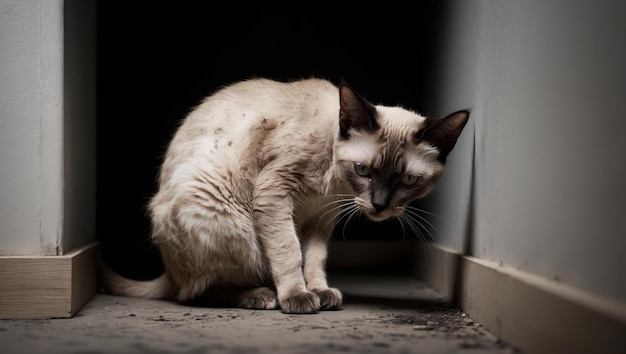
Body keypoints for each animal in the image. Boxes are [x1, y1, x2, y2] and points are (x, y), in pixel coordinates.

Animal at [98, 76, 468, 312]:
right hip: (226, 218)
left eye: (408, 180)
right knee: (193, 292)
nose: (378, 205)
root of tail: (168, 271)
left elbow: (314, 258)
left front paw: (318, 291)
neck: (334, 184)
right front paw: (298, 297)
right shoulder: (274, 194)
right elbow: (288, 251)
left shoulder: (323, 216)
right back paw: (260, 296)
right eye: (363, 171)